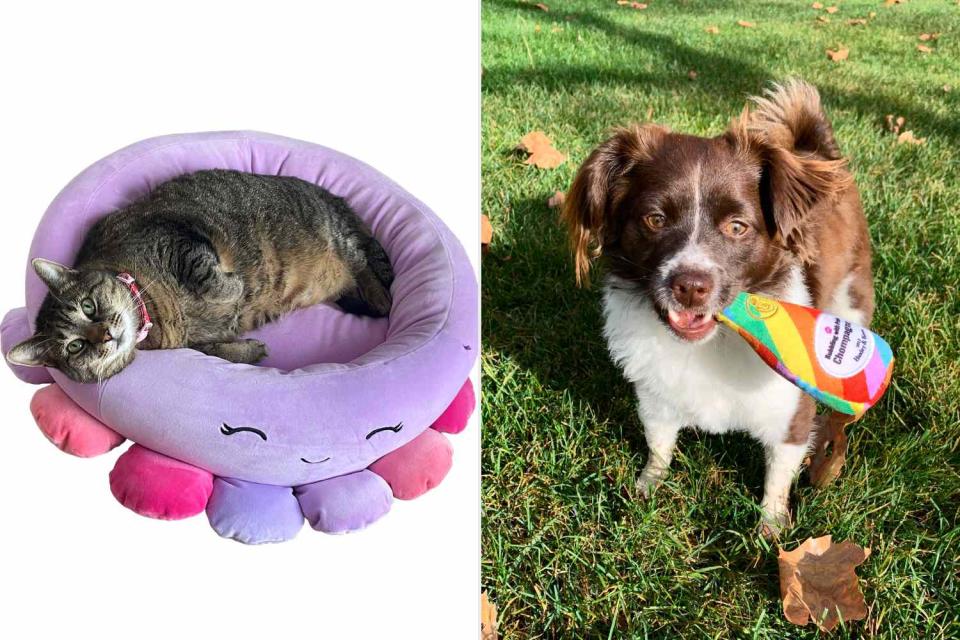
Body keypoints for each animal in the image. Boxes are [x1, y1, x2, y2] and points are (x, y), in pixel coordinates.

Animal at [7, 168, 390, 382]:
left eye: (88, 307)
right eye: (75, 347)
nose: (105, 335)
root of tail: (334, 197)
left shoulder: (179, 241)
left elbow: (208, 274)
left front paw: (235, 287)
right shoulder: (195, 344)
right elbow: (217, 352)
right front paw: (250, 350)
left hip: (335, 235)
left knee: (364, 263)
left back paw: (381, 298)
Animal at [564, 80, 876, 532]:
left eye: (737, 227)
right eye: (654, 220)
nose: (690, 287)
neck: (713, 342)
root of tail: (816, 150)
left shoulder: (791, 416)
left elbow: (777, 478)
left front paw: (770, 530)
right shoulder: (655, 396)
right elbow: (659, 445)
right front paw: (646, 487)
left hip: (852, 296)